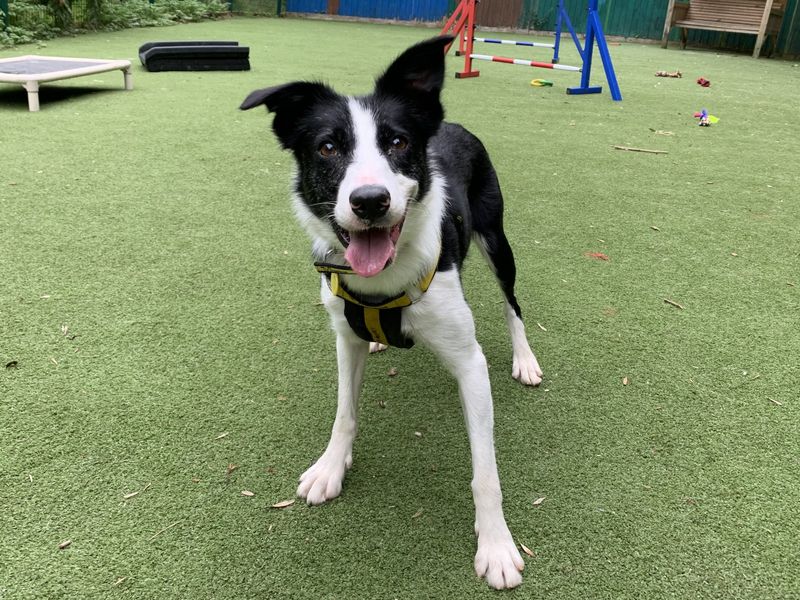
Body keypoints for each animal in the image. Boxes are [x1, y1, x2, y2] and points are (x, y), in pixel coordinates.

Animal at [242, 35, 544, 588]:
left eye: (399, 143)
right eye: (327, 147)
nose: (369, 200)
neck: (383, 283)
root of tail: (450, 122)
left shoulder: (470, 363)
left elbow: (485, 472)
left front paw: (496, 545)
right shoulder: (344, 336)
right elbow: (344, 412)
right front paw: (330, 467)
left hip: (497, 239)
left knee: (513, 303)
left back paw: (525, 359)